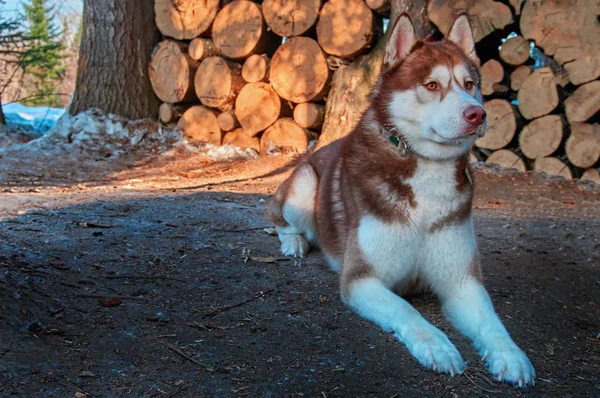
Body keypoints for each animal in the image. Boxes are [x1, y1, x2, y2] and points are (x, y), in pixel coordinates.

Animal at [266, 12, 536, 386]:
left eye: (469, 84)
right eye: (432, 85)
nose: (477, 115)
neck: (426, 169)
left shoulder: (462, 282)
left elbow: (493, 323)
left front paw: (511, 356)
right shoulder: (362, 279)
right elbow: (406, 309)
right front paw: (438, 346)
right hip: (304, 184)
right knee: (280, 220)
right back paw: (294, 244)